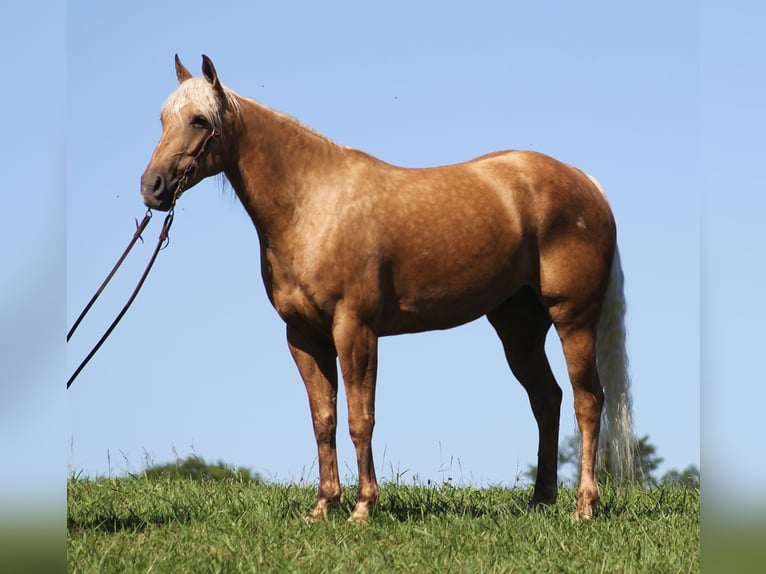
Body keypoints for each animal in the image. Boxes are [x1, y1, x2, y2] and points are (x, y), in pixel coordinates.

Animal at [141, 56, 632, 524]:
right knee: (547, 400)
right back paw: (540, 501)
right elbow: (324, 420)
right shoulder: (304, 337)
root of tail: (587, 183)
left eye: (199, 120)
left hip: (574, 320)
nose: (152, 188)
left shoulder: (355, 330)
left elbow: (361, 419)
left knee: (588, 402)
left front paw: (363, 507)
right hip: (519, 329)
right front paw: (323, 506)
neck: (313, 203)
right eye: (163, 118)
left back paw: (584, 506)